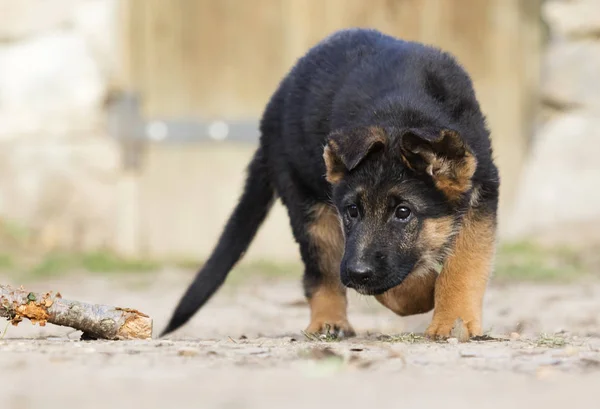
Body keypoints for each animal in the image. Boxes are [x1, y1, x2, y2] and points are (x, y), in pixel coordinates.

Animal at [162, 28, 500, 340]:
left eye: (403, 212)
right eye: (352, 211)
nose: (356, 273)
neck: (403, 113)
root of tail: (271, 116)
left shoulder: (482, 192)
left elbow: (464, 263)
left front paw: (453, 321)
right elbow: (395, 284)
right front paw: (426, 291)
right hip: (310, 210)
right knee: (320, 272)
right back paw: (329, 322)